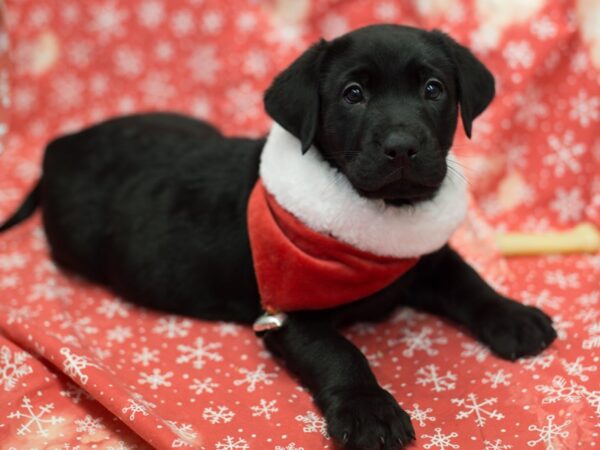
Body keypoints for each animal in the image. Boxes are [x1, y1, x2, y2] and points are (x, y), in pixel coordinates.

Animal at [0, 25, 556, 450]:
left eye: (434, 89)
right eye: (353, 94)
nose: (402, 147)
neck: (379, 222)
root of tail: (59, 146)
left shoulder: (424, 258)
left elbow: (470, 280)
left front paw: (515, 316)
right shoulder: (287, 312)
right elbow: (340, 353)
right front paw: (369, 410)